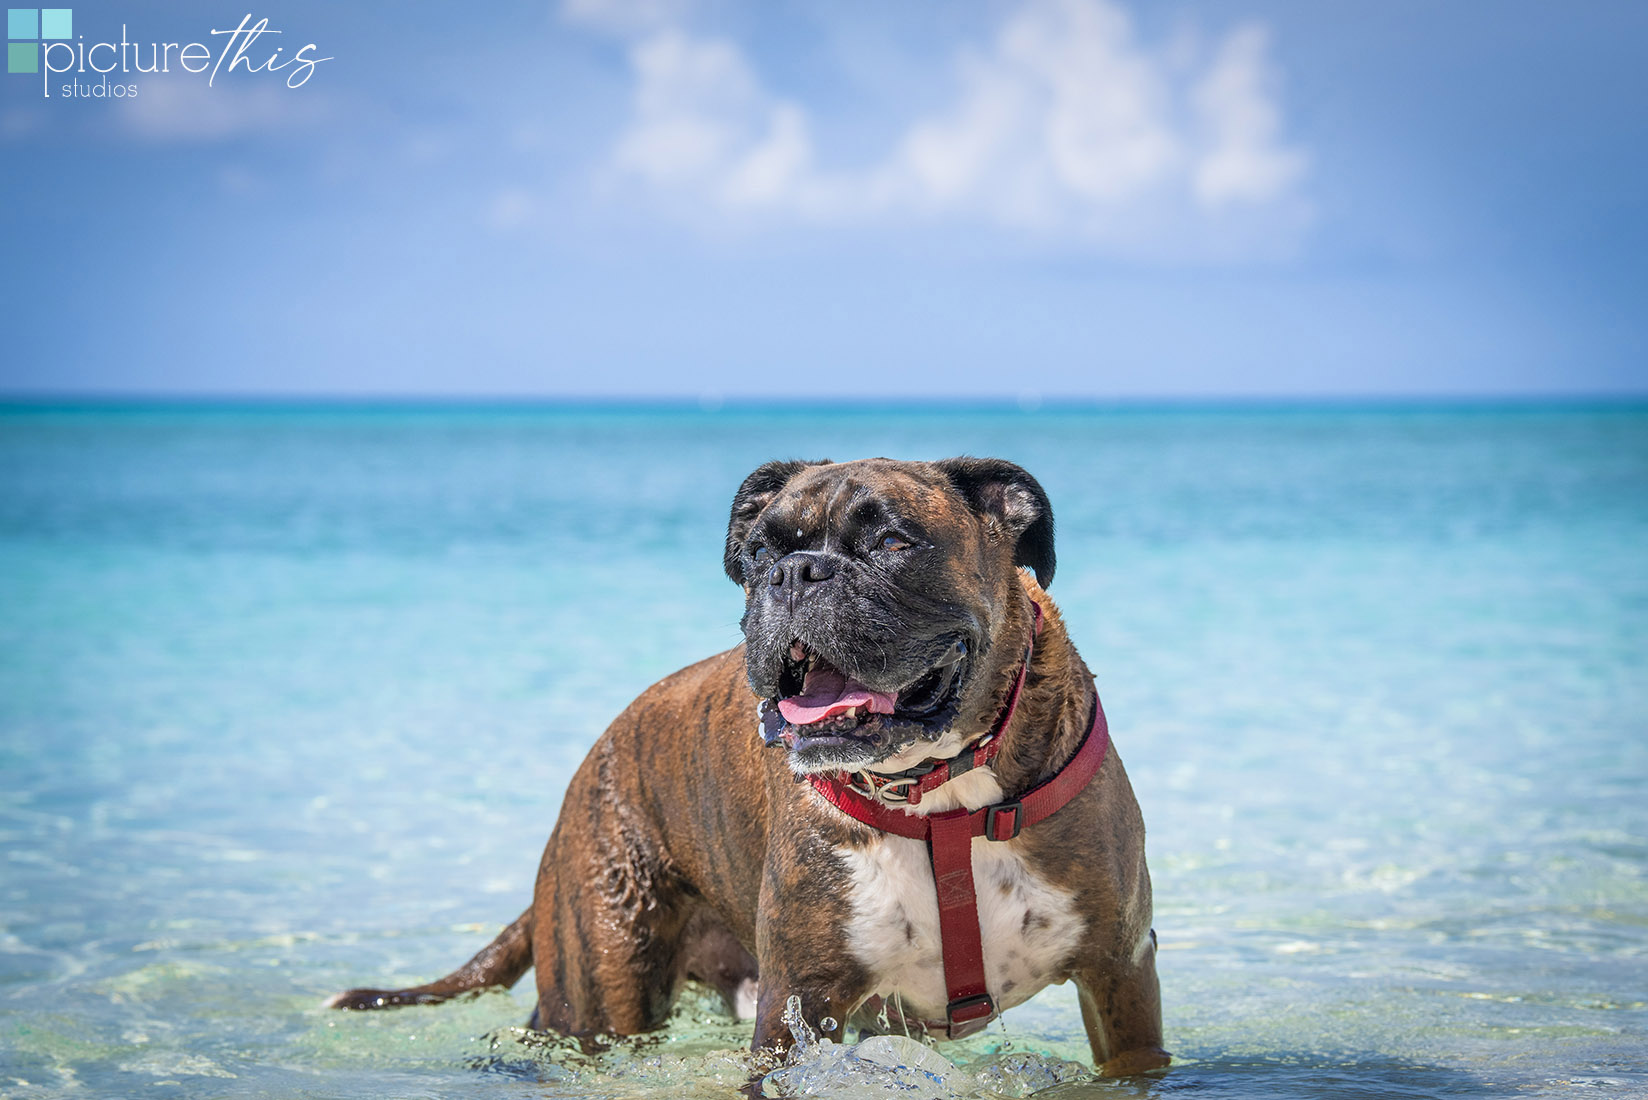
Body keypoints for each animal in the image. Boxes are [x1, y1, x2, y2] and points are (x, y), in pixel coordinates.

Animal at [327, 455, 1166, 1075]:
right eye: (760, 551)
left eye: (893, 544)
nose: (796, 574)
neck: (940, 796)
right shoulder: (799, 1008)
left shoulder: (1121, 977)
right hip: (601, 994)